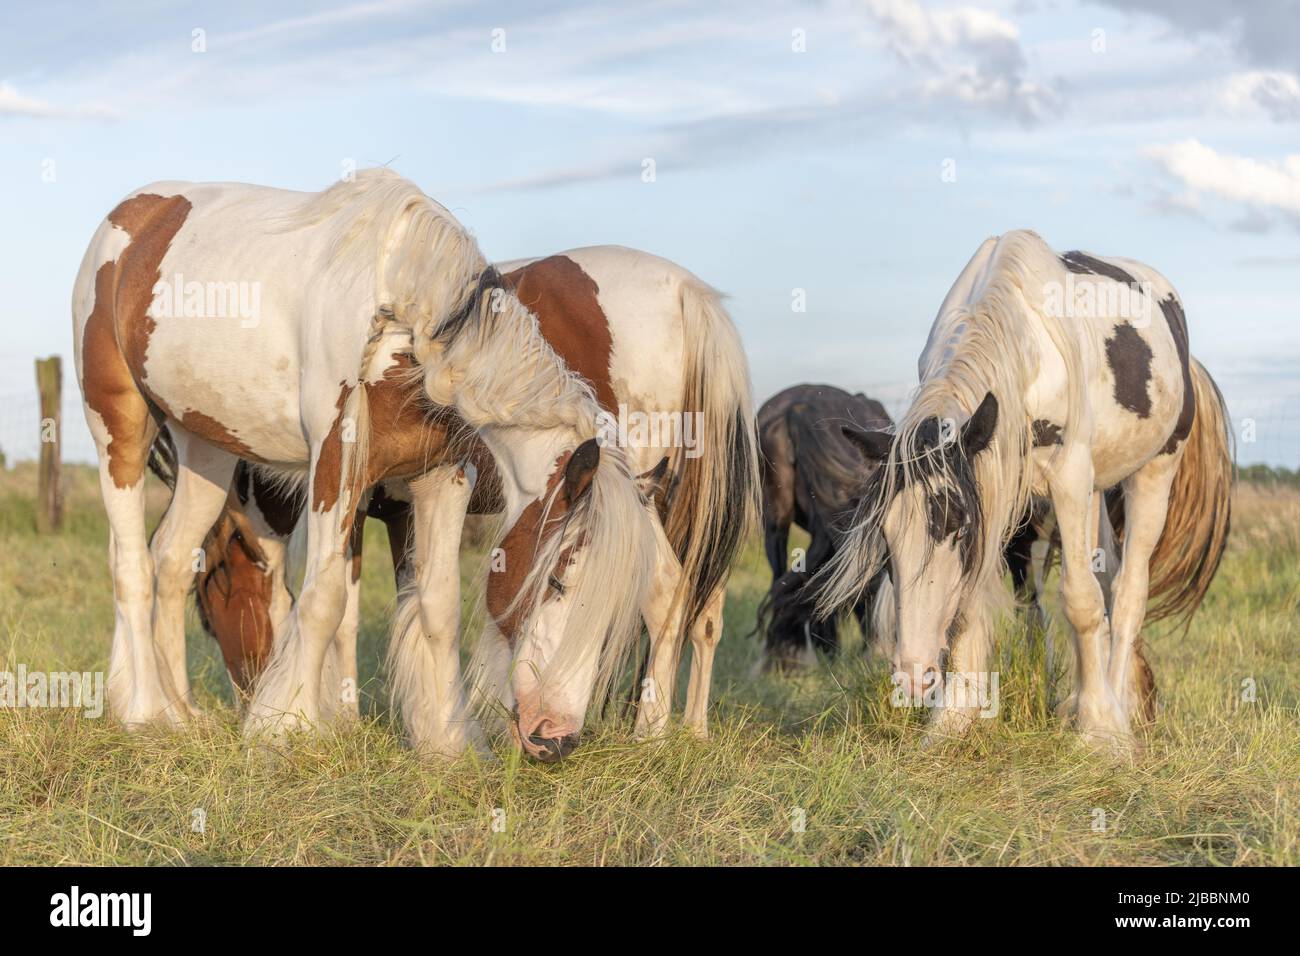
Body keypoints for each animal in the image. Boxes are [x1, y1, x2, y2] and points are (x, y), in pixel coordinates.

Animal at [71, 170, 759, 754]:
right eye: (559, 583)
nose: (556, 738)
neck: (406, 315)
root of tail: (135, 214)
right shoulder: (341, 471)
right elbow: (328, 603)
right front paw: (295, 726)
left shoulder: (438, 479)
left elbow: (430, 606)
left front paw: (441, 742)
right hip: (122, 428)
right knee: (138, 564)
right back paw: (149, 712)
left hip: (204, 447)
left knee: (163, 560)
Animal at [816, 230, 1232, 754]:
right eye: (886, 539)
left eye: (956, 527)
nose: (913, 676)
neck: (1025, 346)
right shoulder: (995, 482)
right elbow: (976, 602)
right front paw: (953, 717)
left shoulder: (1067, 477)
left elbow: (1080, 600)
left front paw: (1101, 731)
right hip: (1095, 491)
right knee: (1108, 576)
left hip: (1154, 472)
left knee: (1128, 590)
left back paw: (1118, 704)